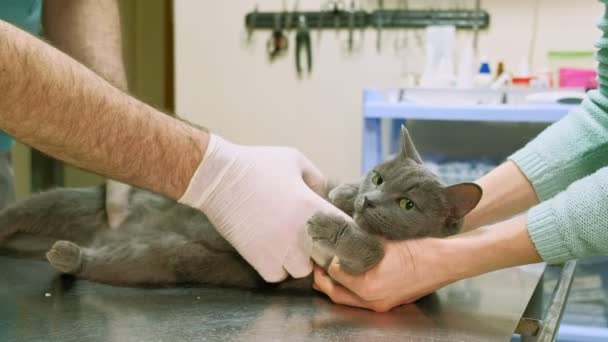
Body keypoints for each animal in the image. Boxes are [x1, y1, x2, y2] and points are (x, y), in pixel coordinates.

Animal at [2, 128, 482, 292]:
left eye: (407, 204)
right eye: (379, 177)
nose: (369, 200)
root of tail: (112, 234)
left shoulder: (356, 270)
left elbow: (372, 250)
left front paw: (331, 223)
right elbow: (323, 187)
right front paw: (342, 196)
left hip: (148, 261)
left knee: (97, 263)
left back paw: (68, 254)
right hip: (75, 200)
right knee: (23, 210)